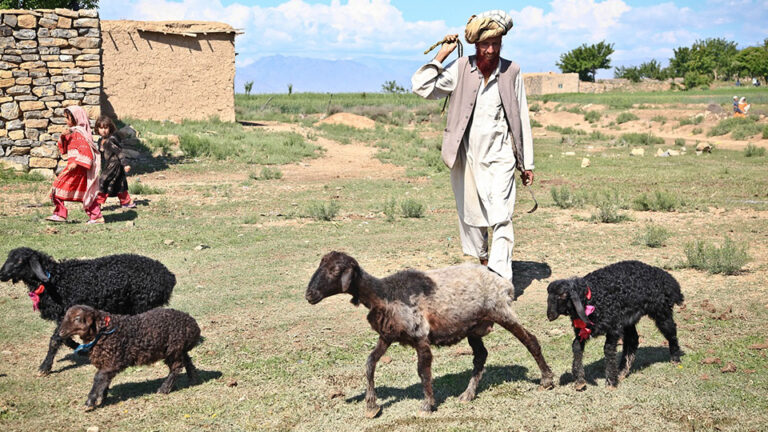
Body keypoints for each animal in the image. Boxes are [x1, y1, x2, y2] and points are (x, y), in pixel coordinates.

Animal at [0, 248, 176, 376]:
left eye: (20, 261)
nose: (2, 274)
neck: (56, 280)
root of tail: (169, 276)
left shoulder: (68, 312)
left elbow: (56, 339)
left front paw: (45, 367)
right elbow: (65, 338)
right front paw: (80, 348)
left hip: (143, 305)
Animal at [59, 306, 201, 410]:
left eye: (77, 318)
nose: (60, 332)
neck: (104, 332)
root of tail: (194, 324)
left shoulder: (114, 361)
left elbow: (99, 377)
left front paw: (90, 401)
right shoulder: (106, 363)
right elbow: (104, 380)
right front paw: (102, 397)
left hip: (173, 349)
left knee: (176, 367)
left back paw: (164, 389)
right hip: (179, 349)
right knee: (187, 361)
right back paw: (193, 379)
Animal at [544, 262, 684, 390]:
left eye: (562, 295)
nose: (549, 315)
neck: (593, 298)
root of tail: (669, 279)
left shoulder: (613, 328)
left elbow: (608, 349)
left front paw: (611, 381)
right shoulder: (582, 330)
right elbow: (576, 347)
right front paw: (579, 381)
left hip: (661, 311)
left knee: (671, 331)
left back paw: (675, 359)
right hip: (628, 320)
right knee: (632, 340)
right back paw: (622, 371)